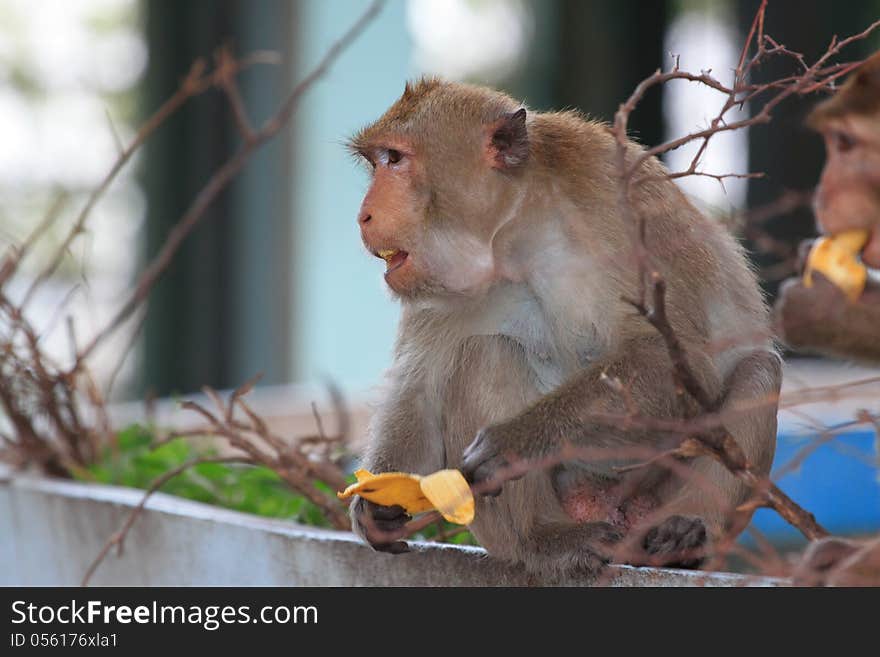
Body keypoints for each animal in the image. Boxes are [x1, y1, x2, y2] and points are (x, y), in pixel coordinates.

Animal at [348, 79, 780, 576]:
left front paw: (514, 444)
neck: (517, 234)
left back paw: (685, 533)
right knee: (486, 354)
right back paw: (543, 537)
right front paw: (375, 505)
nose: (363, 216)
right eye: (376, 161)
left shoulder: (619, 207)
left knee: (760, 369)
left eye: (395, 159)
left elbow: (676, 362)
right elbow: (417, 385)